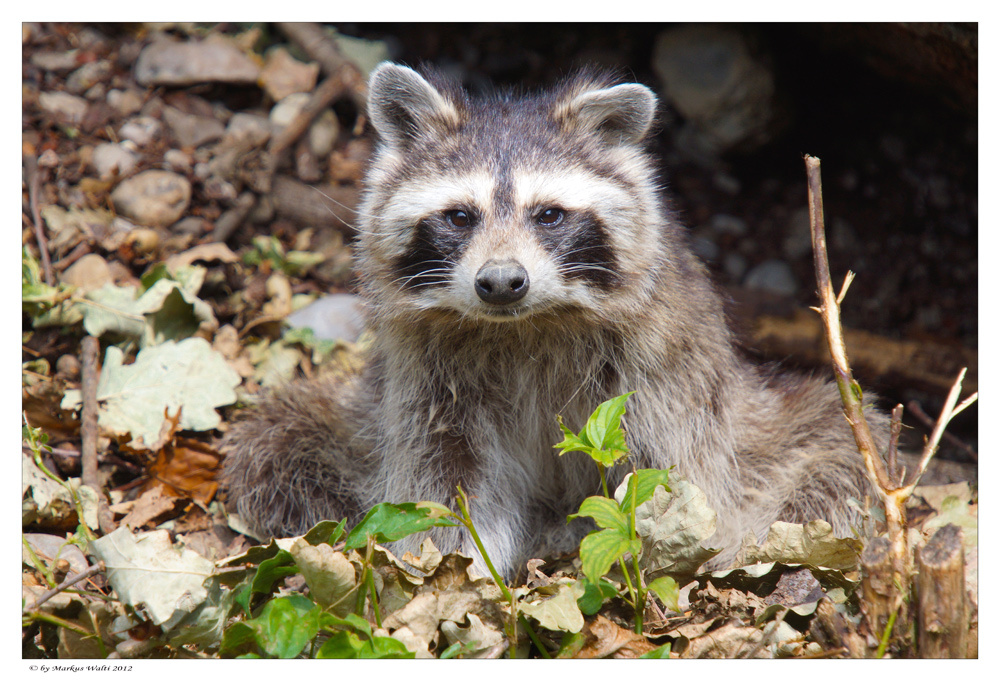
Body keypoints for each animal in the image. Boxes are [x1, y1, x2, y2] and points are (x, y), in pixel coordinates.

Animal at [225, 63, 884, 576]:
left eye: (548, 215)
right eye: (459, 216)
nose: (500, 283)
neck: (524, 324)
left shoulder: (661, 369)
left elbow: (670, 476)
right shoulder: (425, 378)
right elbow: (442, 478)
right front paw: (461, 565)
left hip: (765, 423)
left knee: (837, 452)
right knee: (280, 445)